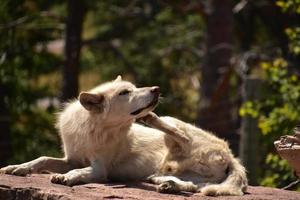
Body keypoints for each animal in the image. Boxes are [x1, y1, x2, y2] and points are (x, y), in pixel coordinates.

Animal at [0, 77, 246, 197]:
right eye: (125, 92)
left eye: (135, 87)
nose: (156, 89)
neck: (93, 129)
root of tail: (233, 157)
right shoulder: (71, 158)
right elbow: (42, 159)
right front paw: (17, 168)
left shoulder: (100, 169)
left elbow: (80, 172)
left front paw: (67, 177)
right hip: (190, 174)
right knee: (194, 187)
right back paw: (166, 185)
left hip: (174, 125)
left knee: (179, 134)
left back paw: (152, 120)